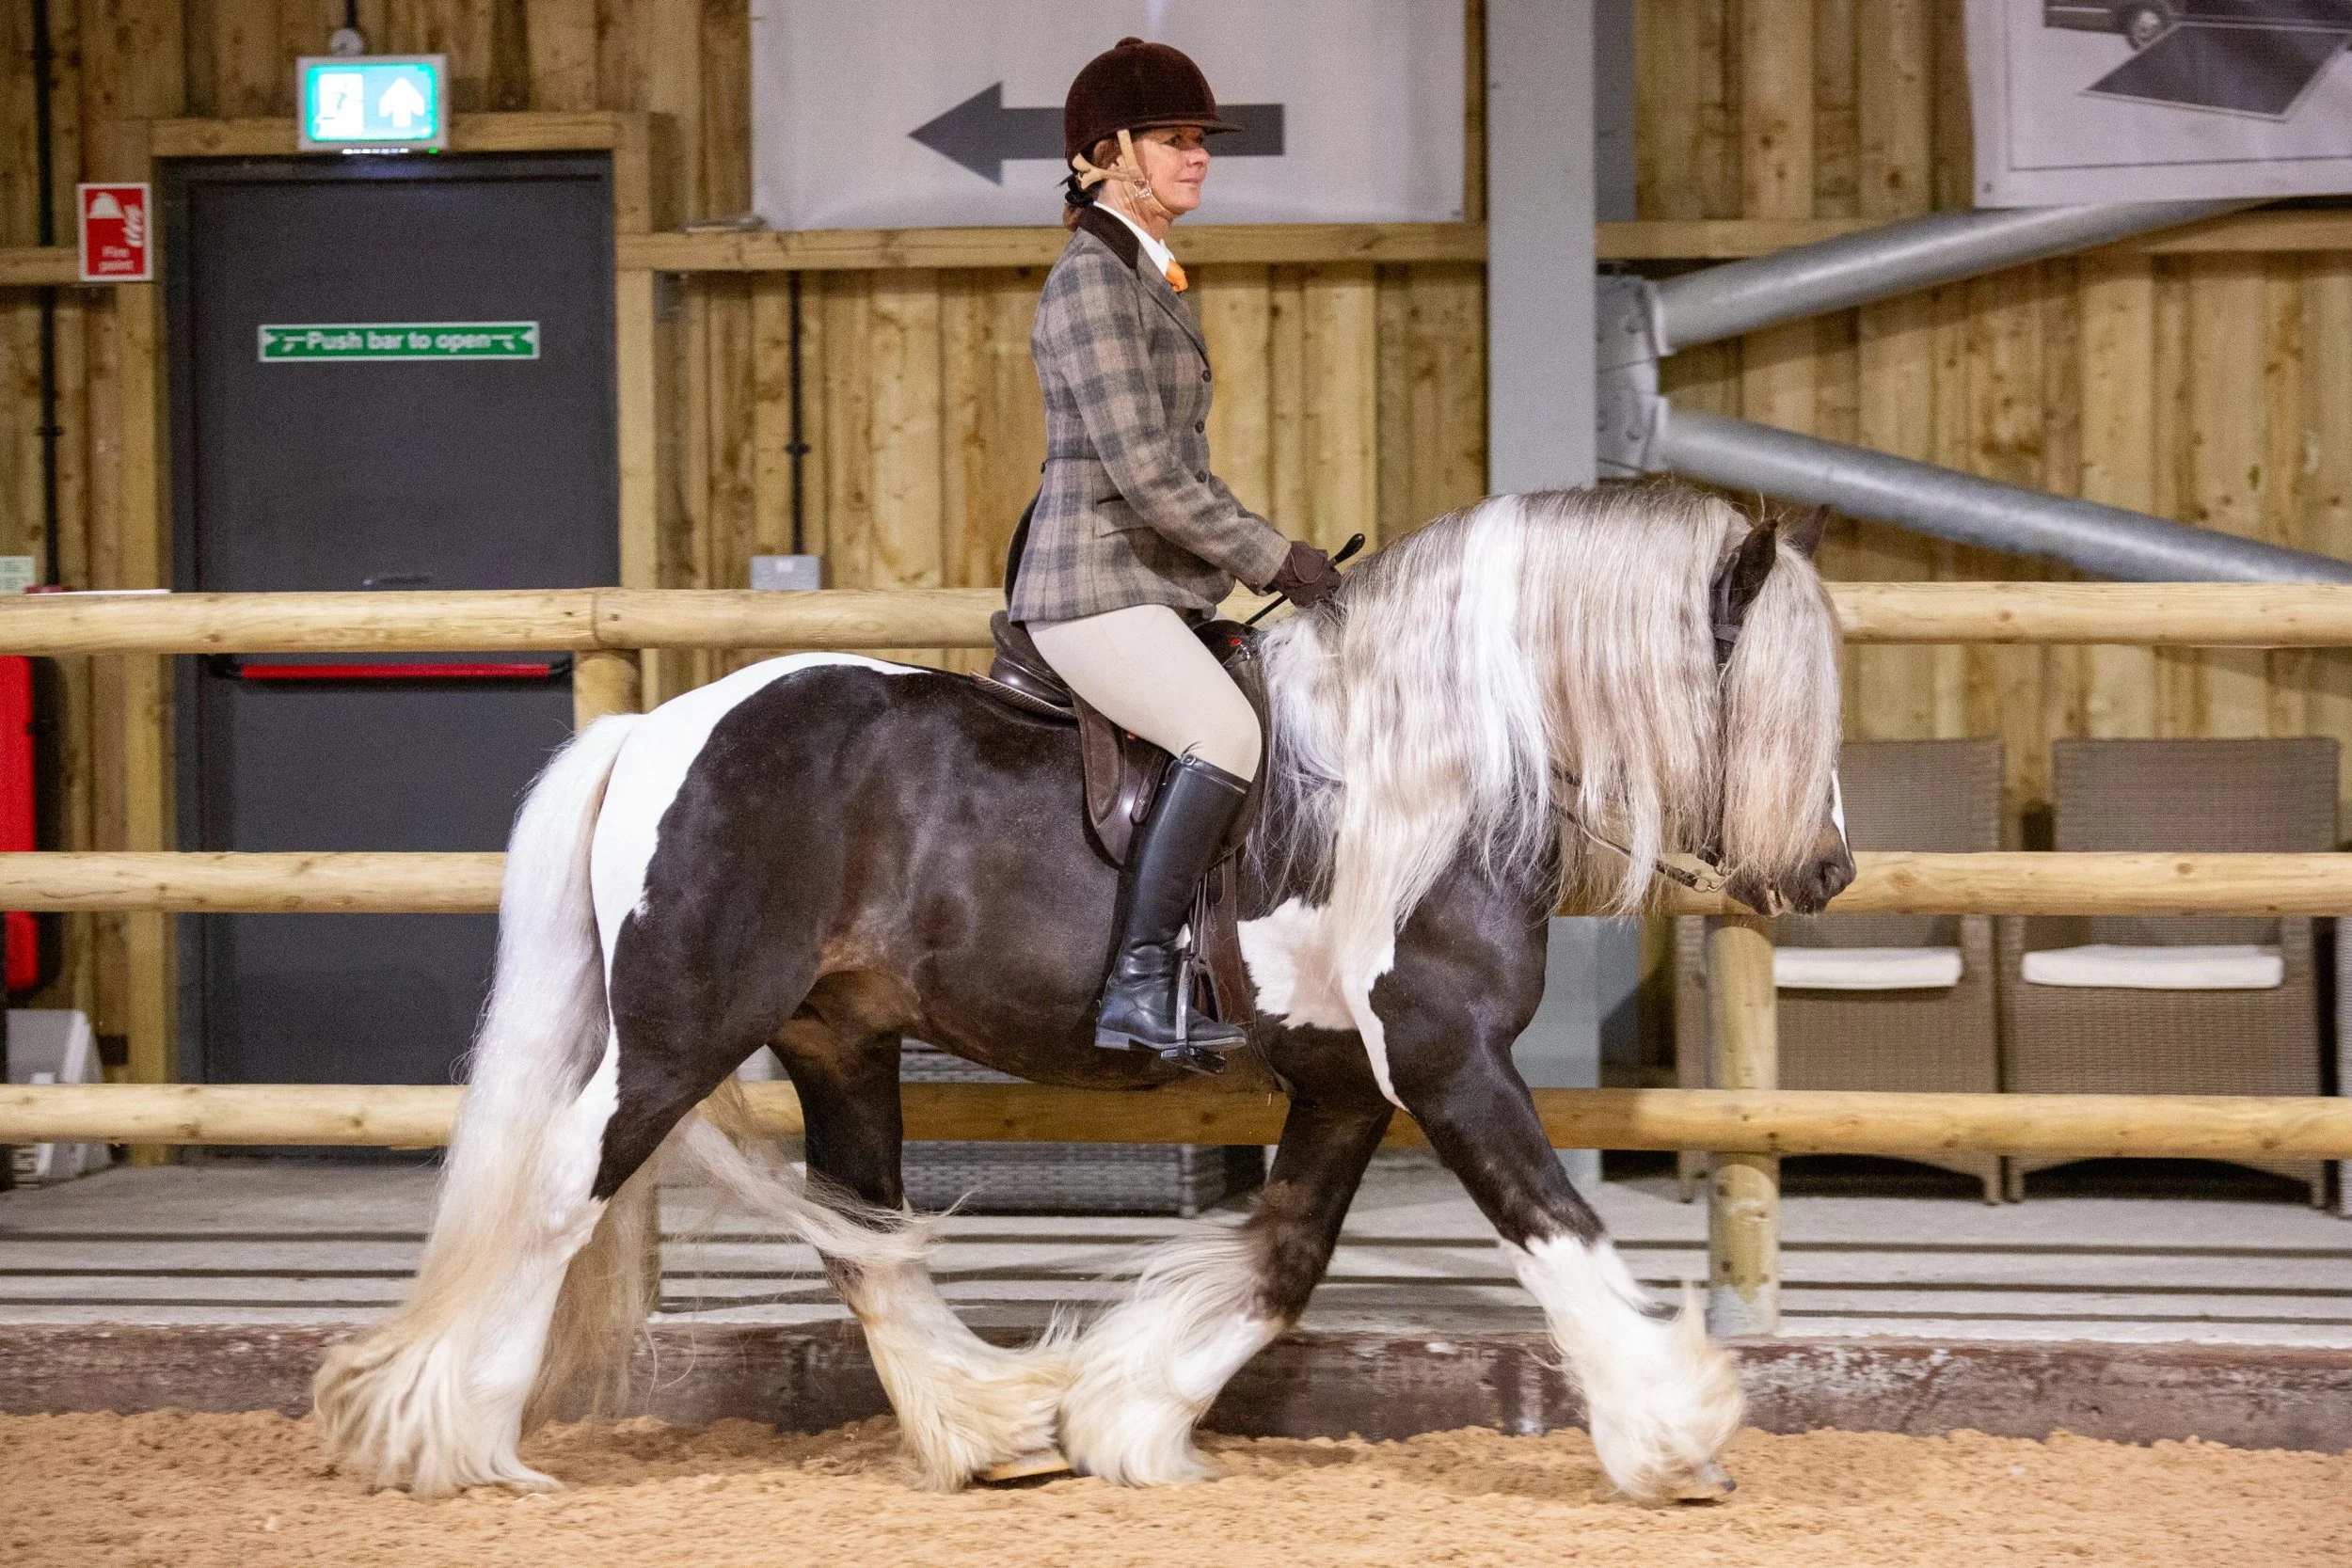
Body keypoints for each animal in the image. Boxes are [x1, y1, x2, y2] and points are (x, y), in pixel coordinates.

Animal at [312, 482, 1853, 1504]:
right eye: (1769, 689)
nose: (1826, 867)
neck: (1426, 768)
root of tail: (659, 728)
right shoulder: (1445, 1058)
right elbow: (1556, 1227)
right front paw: (1676, 1428)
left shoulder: (1348, 1076)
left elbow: (1283, 1255)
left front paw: (1127, 1413)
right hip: (680, 1034)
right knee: (560, 1191)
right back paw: (460, 1434)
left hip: (839, 1040)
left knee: (864, 1232)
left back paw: (989, 1425)